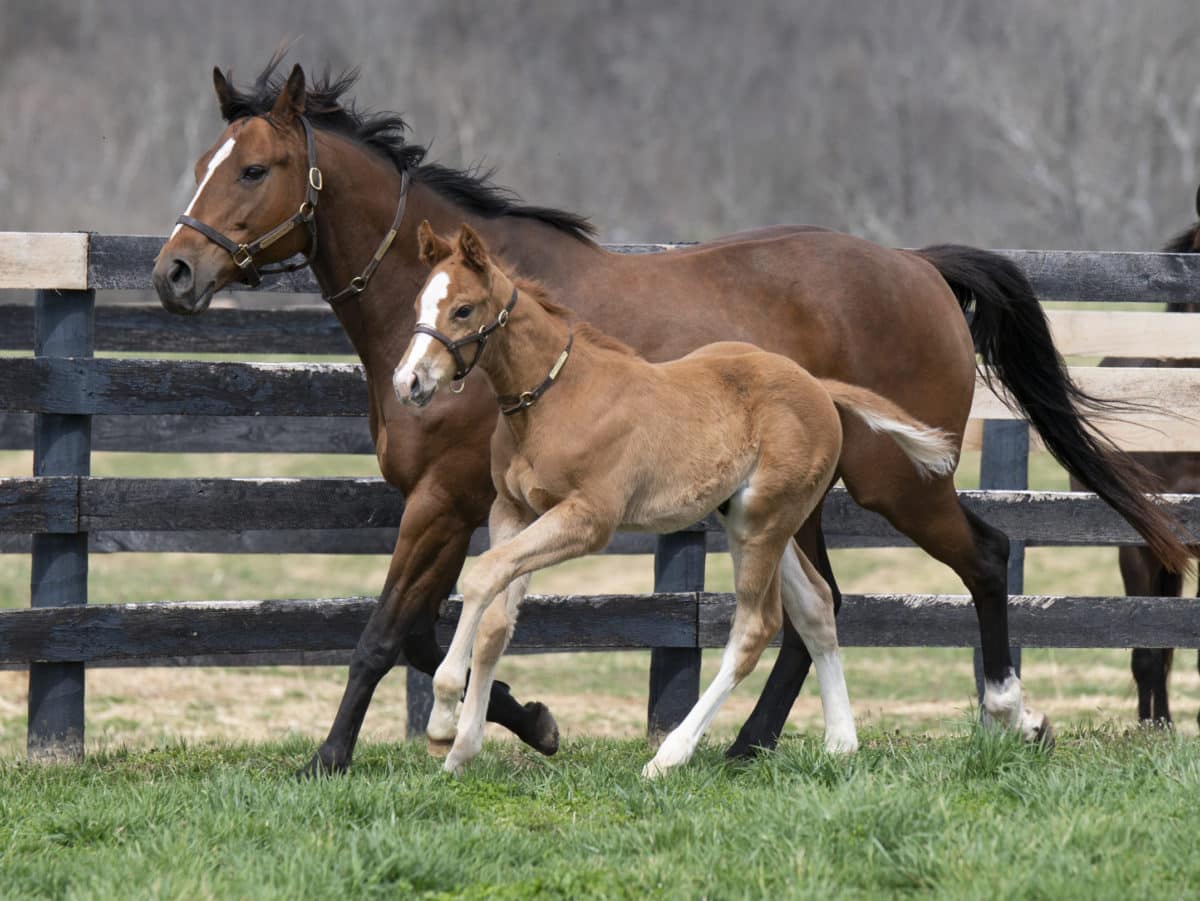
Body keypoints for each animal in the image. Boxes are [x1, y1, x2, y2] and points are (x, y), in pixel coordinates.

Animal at [393, 224, 955, 777]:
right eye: (417, 302)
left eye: (463, 309)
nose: (408, 382)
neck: (554, 399)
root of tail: (816, 385)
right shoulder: (513, 511)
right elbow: (495, 619)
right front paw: (463, 746)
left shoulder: (587, 519)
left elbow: (482, 575)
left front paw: (442, 721)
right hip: (754, 519)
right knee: (815, 604)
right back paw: (840, 741)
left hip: (762, 525)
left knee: (755, 627)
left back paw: (670, 755)